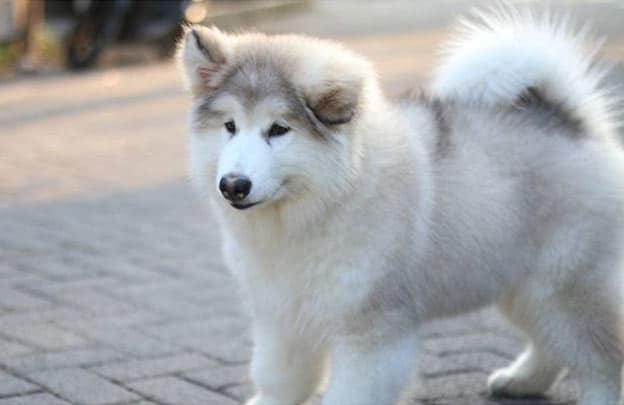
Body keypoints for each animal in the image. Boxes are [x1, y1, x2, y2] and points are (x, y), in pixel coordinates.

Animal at [177, 6, 624, 404]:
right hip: (521, 284)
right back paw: (521, 380)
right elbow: (279, 377)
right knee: (551, 345)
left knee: (602, 360)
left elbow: (349, 394)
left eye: (279, 130)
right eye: (230, 126)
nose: (233, 185)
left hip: (566, 287)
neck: (323, 202)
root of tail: (571, 124)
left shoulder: (371, 331)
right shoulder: (282, 315)